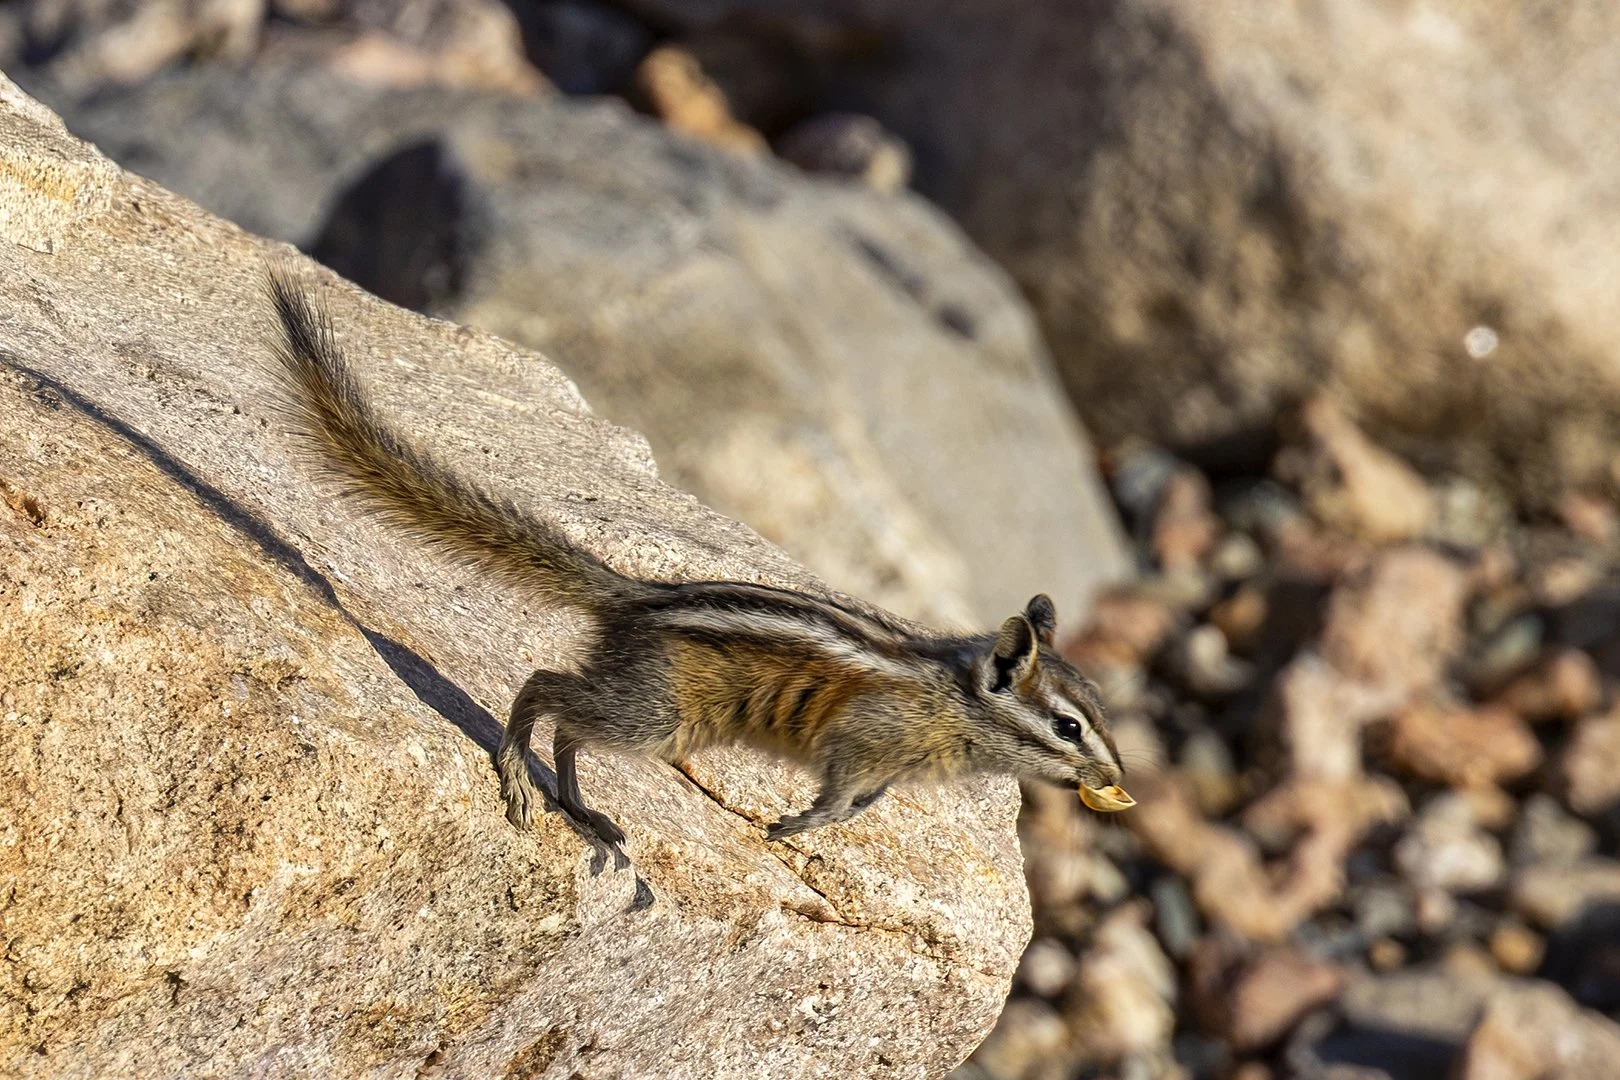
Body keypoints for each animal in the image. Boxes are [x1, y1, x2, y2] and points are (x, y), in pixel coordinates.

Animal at [263, 267, 1124, 868]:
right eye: (1068, 725)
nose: (1114, 778)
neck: (955, 704)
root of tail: (635, 599)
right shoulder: (864, 739)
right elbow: (838, 793)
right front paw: (799, 822)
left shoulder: (891, 770)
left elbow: (862, 806)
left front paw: (814, 825)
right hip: (657, 712)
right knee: (546, 689)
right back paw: (518, 773)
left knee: (568, 726)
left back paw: (583, 810)